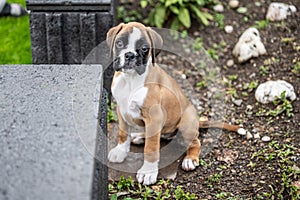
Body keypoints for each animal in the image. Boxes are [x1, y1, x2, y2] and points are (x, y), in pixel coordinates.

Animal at [105, 21, 244, 184]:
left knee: (195, 142)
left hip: (186, 124)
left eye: (144, 48)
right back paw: (139, 137)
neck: (131, 79)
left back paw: (190, 159)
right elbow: (123, 133)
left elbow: (151, 148)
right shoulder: (121, 110)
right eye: (119, 43)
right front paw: (120, 152)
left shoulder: (154, 117)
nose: (129, 55)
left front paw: (148, 172)